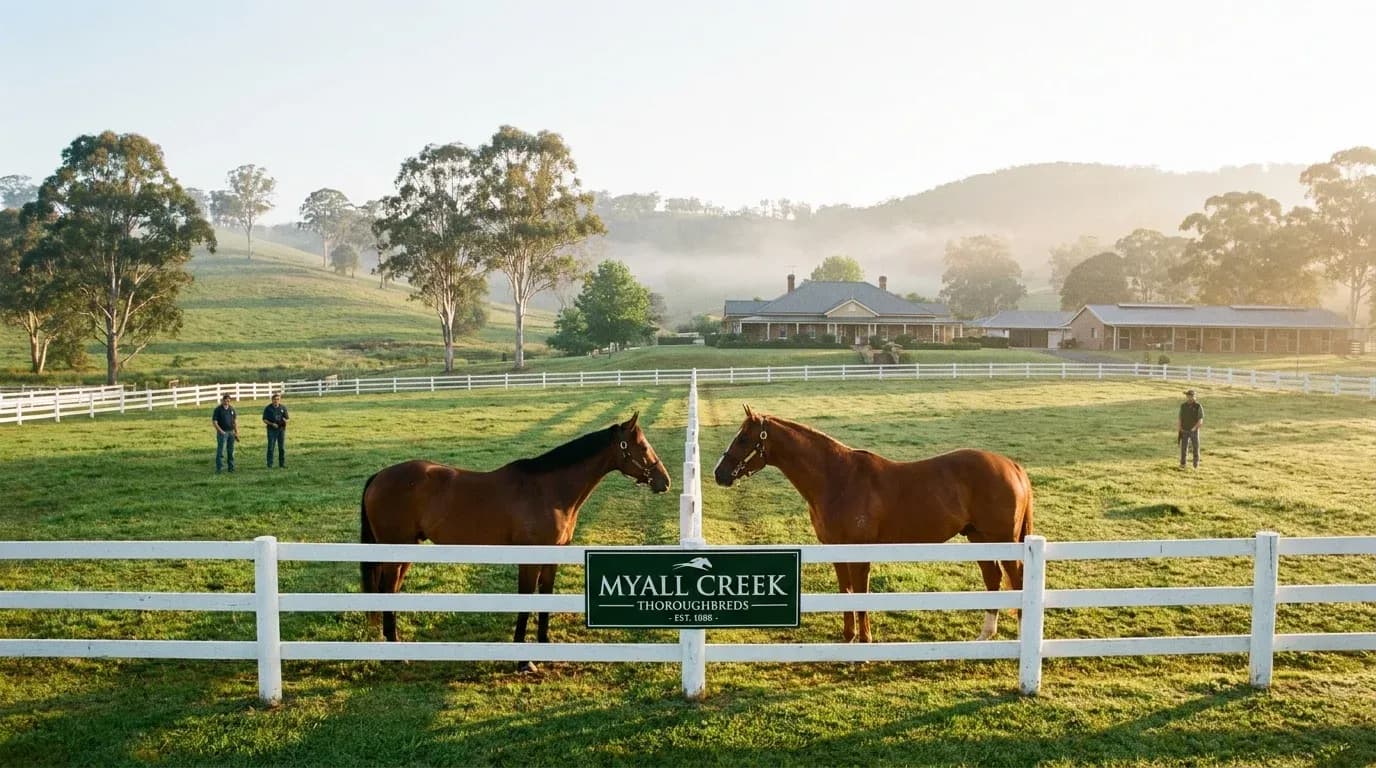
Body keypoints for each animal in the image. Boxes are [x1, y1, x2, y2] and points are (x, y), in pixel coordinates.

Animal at [360, 413, 671, 670]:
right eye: (643, 447)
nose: (664, 481)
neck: (548, 490)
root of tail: (379, 476)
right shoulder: (529, 558)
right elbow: (525, 601)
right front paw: (523, 661)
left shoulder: (554, 555)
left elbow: (546, 600)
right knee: (387, 590)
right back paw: (396, 654)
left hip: (407, 550)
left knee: (392, 591)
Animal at [712, 405, 1033, 642]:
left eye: (743, 439)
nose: (720, 473)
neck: (838, 479)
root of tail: (1012, 466)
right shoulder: (836, 551)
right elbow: (845, 594)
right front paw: (849, 638)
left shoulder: (859, 551)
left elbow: (860, 594)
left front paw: (864, 643)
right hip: (978, 538)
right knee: (992, 579)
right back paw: (985, 636)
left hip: (1003, 540)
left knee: (1017, 580)